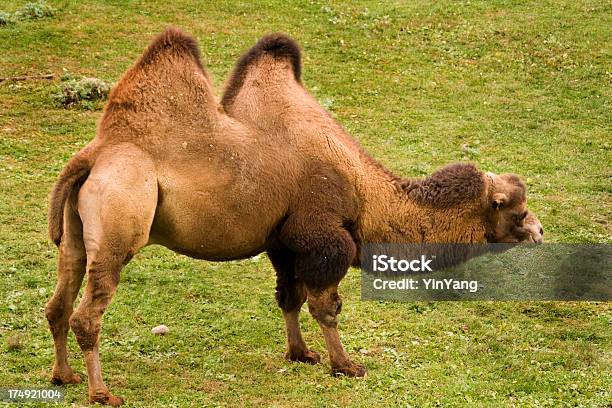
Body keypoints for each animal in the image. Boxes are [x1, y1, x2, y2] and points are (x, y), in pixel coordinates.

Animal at [45, 28, 544, 404]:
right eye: (516, 211)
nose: (540, 232)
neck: (366, 194)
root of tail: (93, 155)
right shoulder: (324, 235)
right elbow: (326, 306)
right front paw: (346, 365)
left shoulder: (283, 240)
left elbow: (289, 296)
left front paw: (300, 354)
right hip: (121, 216)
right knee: (88, 312)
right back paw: (101, 392)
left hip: (75, 234)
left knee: (58, 302)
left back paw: (64, 376)